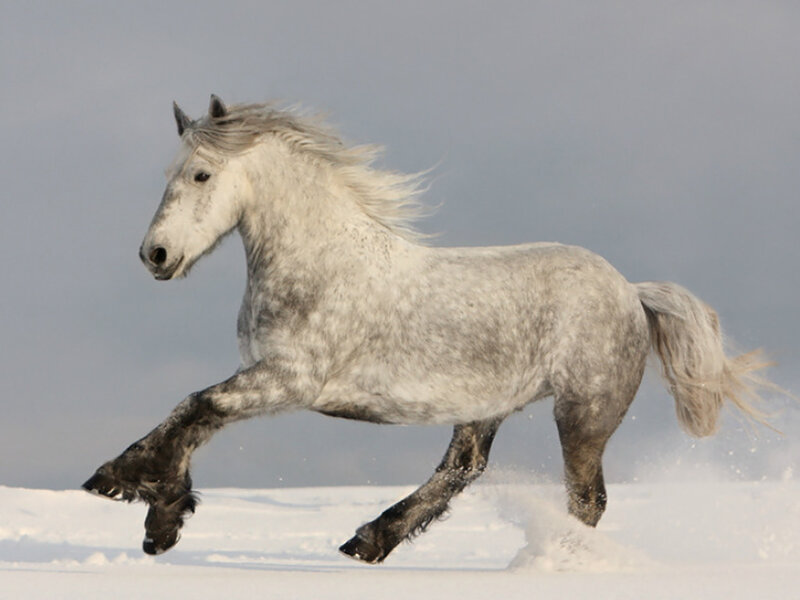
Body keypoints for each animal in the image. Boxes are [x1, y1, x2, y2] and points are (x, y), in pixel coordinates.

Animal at [83, 95, 772, 563]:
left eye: (200, 174)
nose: (155, 255)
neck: (321, 262)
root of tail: (631, 291)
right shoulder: (267, 379)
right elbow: (197, 415)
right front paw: (151, 510)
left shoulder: (289, 381)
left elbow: (195, 407)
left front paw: (134, 495)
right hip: (486, 407)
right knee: (463, 470)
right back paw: (368, 540)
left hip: (583, 414)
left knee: (585, 502)